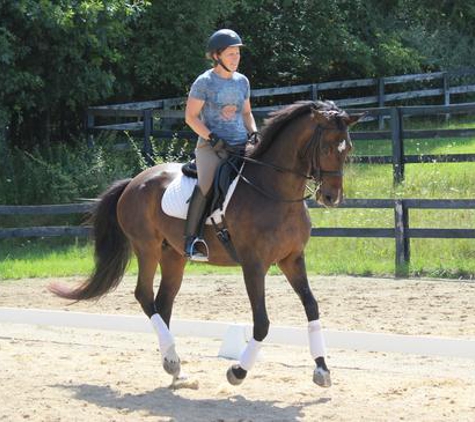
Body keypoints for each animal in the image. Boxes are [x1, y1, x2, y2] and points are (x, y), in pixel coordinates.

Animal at [49, 100, 360, 388]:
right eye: (327, 148)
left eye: (348, 149)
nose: (331, 197)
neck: (274, 191)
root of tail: (134, 181)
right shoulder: (253, 264)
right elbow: (261, 322)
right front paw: (237, 371)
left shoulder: (292, 259)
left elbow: (311, 306)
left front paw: (322, 369)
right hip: (146, 248)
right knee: (144, 296)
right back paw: (174, 362)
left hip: (173, 255)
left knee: (163, 302)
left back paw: (175, 368)